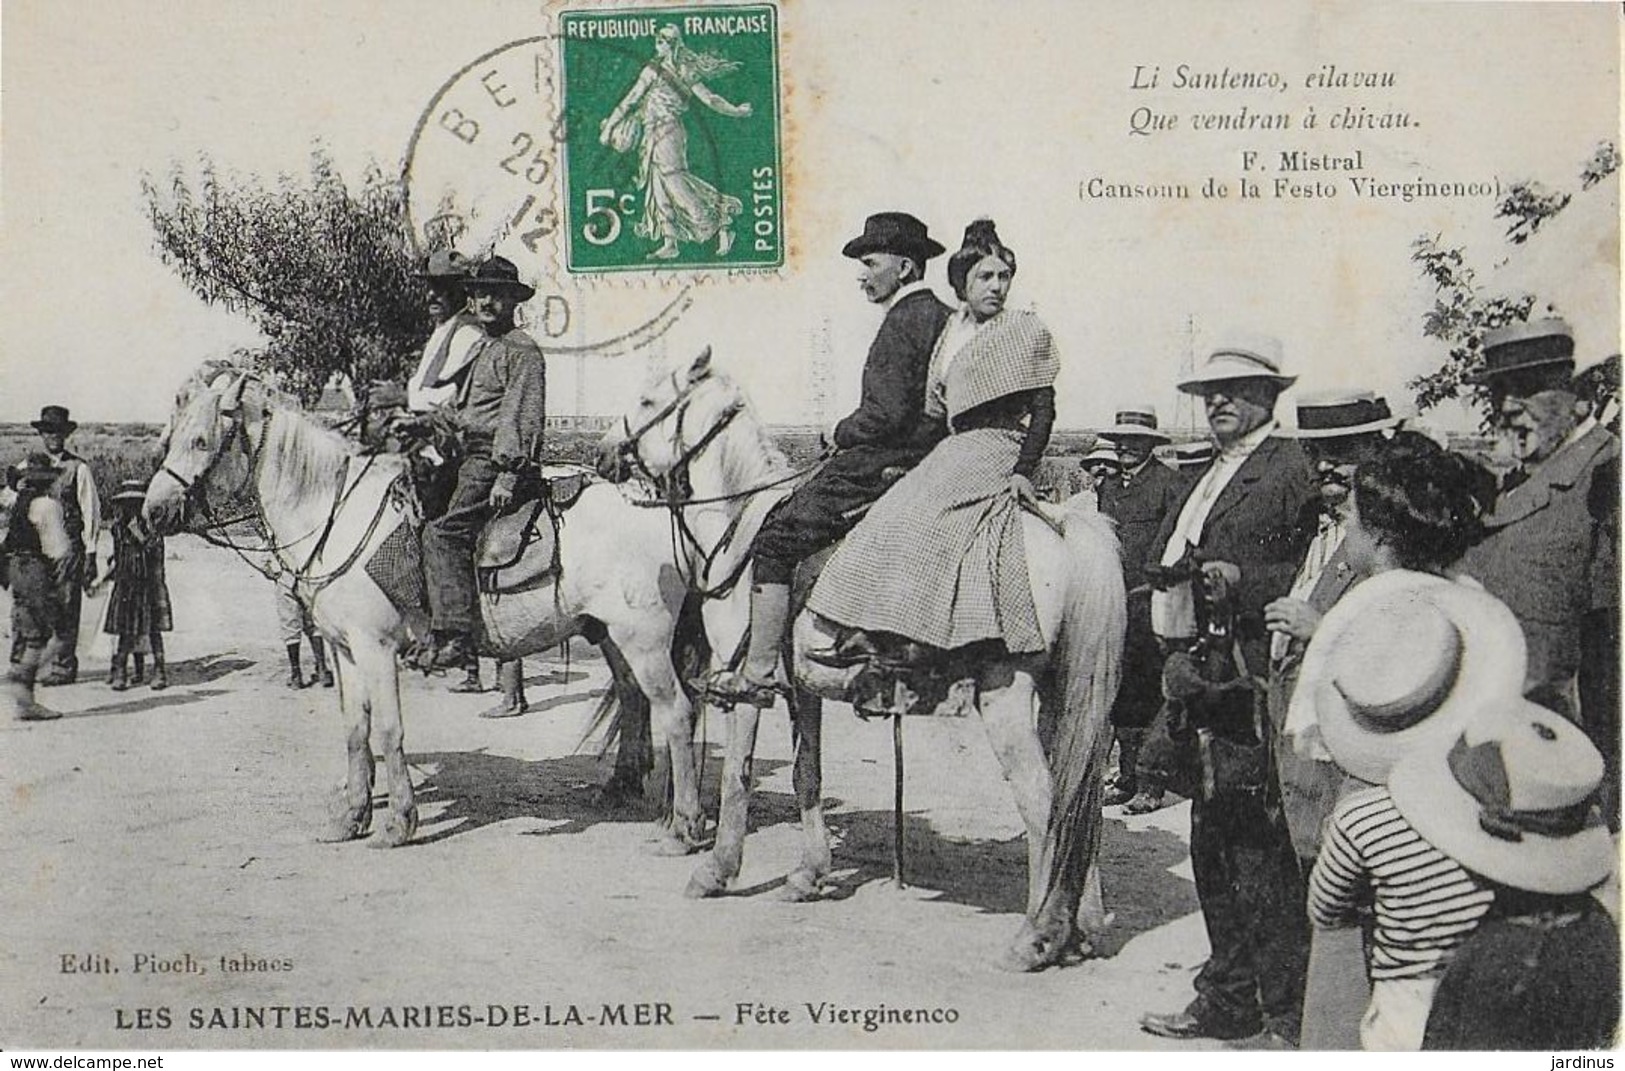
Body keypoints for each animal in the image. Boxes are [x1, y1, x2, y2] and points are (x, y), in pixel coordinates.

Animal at [144, 364, 711, 851]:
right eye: (168, 439)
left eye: (200, 441)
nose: (153, 512)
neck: (334, 513)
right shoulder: (344, 652)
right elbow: (355, 731)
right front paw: (351, 817)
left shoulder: (375, 648)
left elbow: (388, 730)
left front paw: (398, 821)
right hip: (611, 634)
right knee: (635, 701)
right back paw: (619, 789)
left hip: (646, 639)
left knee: (677, 712)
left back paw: (683, 825)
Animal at [601, 352, 1131, 975]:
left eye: (645, 400)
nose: (605, 454)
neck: (744, 527)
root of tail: (1064, 527)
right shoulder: (801, 690)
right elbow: (806, 775)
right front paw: (808, 874)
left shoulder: (747, 686)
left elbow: (736, 776)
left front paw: (716, 870)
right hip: (1063, 696)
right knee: (1080, 798)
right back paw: (1082, 926)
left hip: (1005, 698)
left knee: (1045, 804)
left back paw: (1037, 935)